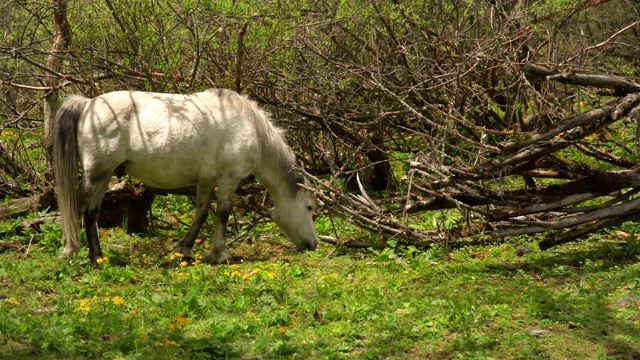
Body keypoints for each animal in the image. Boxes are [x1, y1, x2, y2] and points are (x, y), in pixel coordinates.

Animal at [52, 88, 318, 264]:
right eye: (309, 207)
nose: (312, 245)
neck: (249, 127)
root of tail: (88, 104)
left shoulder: (207, 180)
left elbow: (201, 213)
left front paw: (185, 249)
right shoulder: (229, 177)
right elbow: (223, 212)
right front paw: (220, 254)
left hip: (104, 175)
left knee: (91, 213)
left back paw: (97, 257)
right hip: (96, 174)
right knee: (76, 207)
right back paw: (70, 250)